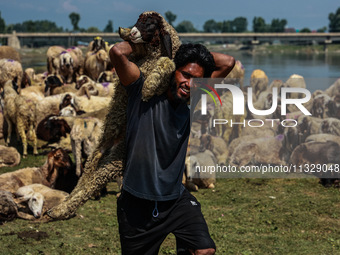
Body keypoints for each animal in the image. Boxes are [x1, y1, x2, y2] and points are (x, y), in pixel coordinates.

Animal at [48, 10, 181, 219]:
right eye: (139, 21)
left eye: (151, 24)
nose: (132, 32)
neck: (148, 57)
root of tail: (111, 145)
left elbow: (168, 62)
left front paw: (148, 87)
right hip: (105, 153)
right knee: (87, 183)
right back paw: (61, 209)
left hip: (111, 156)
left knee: (87, 181)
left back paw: (61, 208)